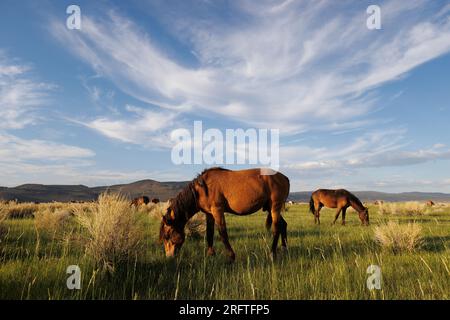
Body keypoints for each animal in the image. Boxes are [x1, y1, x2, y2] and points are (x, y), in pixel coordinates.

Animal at [160, 168, 290, 260]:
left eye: (168, 235)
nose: (169, 257)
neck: (202, 189)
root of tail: (284, 177)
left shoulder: (217, 211)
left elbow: (223, 233)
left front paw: (231, 256)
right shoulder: (209, 214)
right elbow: (210, 233)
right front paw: (210, 254)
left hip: (275, 207)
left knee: (276, 229)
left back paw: (272, 253)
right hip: (270, 208)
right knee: (283, 225)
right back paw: (284, 249)